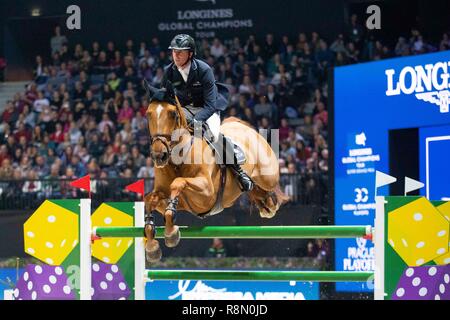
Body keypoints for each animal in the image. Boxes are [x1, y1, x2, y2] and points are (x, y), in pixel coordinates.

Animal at [142, 85, 286, 262]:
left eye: (173, 113)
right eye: (148, 114)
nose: (159, 156)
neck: (177, 160)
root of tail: (244, 127)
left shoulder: (206, 194)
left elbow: (178, 183)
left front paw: (171, 234)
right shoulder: (166, 197)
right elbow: (150, 199)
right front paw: (152, 247)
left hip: (268, 176)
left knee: (269, 187)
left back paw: (269, 203)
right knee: (257, 191)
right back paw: (264, 203)